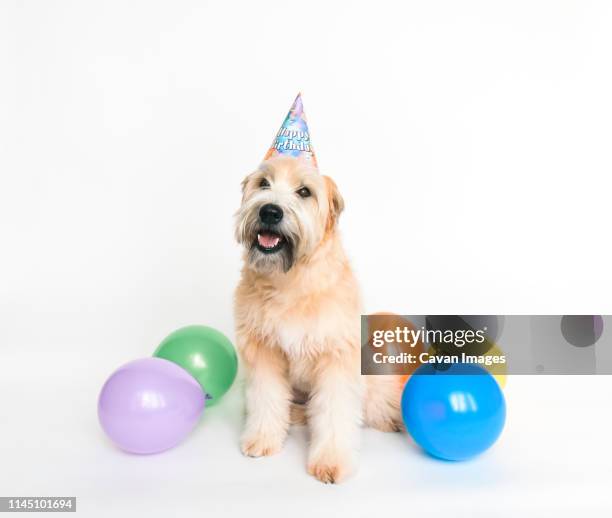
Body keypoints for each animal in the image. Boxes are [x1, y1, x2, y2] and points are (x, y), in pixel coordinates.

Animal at [234, 156, 402, 486]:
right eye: (263, 183)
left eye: (304, 191)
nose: (269, 211)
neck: (290, 282)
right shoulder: (264, 352)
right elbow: (266, 398)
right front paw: (263, 438)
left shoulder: (337, 357)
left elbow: (335, 413)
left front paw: (331, 461)